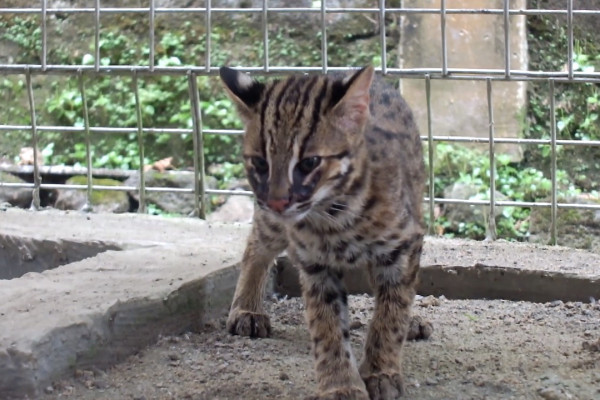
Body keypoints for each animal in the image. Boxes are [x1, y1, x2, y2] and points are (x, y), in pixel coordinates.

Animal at [220, 66, 426, 400]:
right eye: (260, 162)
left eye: (309, 162)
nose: (278, 202)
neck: (335, 212)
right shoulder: (315, 263)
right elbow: (326, 325)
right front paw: (341, 384)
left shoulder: (403, 245)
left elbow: (391, 311)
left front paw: (381, 370)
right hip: (273, 225)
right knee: (255, 247)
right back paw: (247, 310)